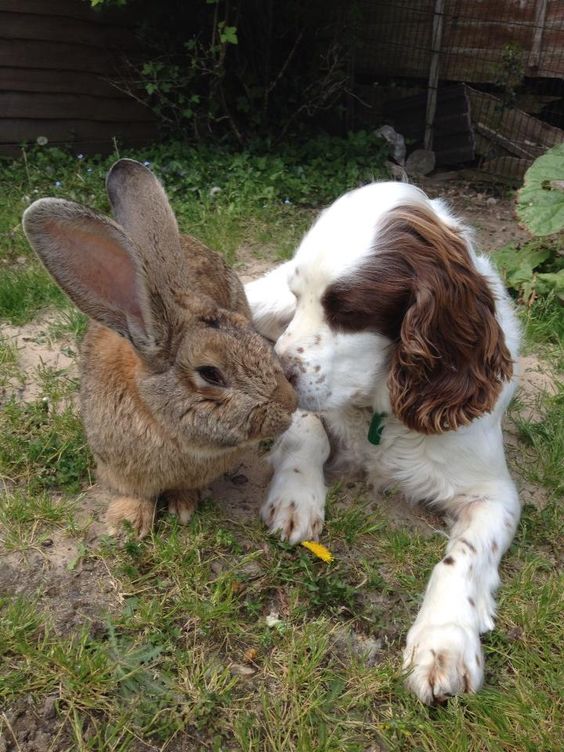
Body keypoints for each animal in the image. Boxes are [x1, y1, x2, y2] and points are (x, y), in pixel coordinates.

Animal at [22, 159, 298, 536]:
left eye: (253, 335)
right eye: (210, 374)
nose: (290, 403)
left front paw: (183, 507)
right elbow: (134, 494)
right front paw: (127, 525)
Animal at [245, 182, 524, 704]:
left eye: (348, 311)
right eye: (300, 298)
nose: (276, 378)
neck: (384, 405)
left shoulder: (495, 494)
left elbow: (461, 557)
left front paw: (444, 642)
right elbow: (309, 431)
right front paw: (297, 497)